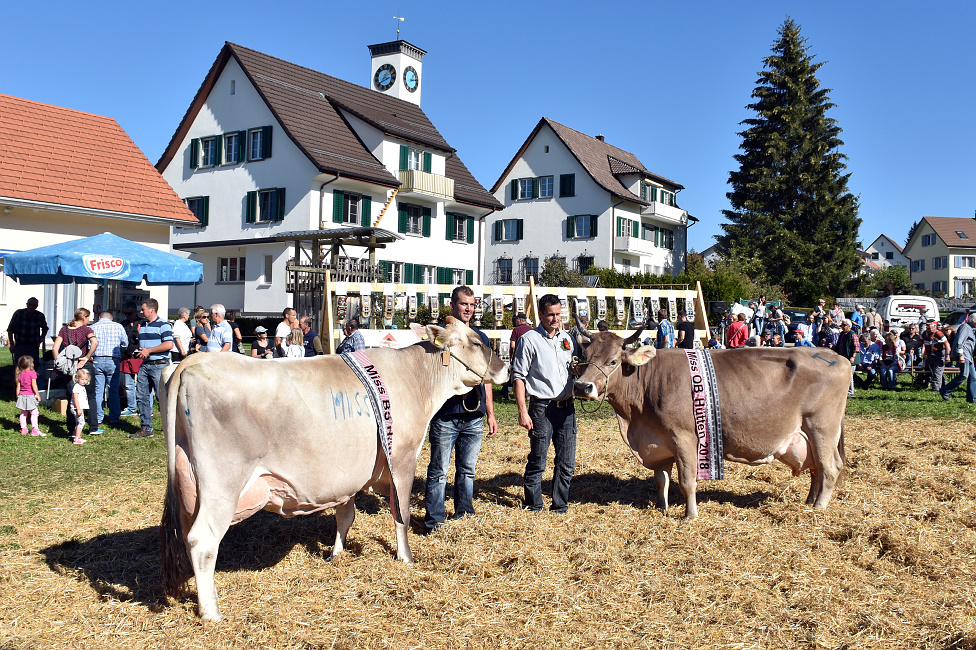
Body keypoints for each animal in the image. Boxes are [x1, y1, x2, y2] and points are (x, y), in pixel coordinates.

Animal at [158, 318, 510, 616]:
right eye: (476, 342)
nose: (505, 368)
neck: (416, 379)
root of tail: (193, 361)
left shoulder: (349, 475)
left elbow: (345, 516)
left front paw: (336, 554)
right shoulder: (402, 458)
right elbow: (402, 514)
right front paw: (406, 558)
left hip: (190, 483)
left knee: (188, 537)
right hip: (222, 484)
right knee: (203, 540)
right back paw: (211, 612)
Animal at [572, 330, 848, 516]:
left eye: (613, 361)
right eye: (583, 358)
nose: (582, 387)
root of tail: (835, 356)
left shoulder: (684, 438)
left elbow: (687, 481)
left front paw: (690, 516)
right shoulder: (657, 442)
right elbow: (661, 479)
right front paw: (662, 508)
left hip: (822, 429)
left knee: (830, 468)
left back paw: (819, 508)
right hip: (809, 436)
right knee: (816, 469)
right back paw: (809, 502)